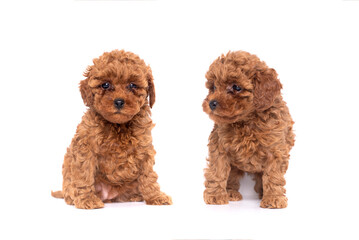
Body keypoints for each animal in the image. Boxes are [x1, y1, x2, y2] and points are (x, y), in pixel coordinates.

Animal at [51, 50, 173, 208]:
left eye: (132, 85)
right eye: (105, 85)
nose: (119, 101)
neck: (118, 126)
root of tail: (109, 196)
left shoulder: (144, 149)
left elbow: (148, 176)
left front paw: (156, 196)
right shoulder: (86, 148)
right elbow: (84, 175)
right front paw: (87, 200)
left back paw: (136, 196)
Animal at [202, 50, 296, 208]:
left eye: (236, 87)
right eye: (214, 87)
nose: (211, 103)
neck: (246, 121)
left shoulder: (276, 150)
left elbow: (273, 175)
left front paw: (273, 198)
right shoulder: (219, 147)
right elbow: (218, 171)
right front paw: (215, 195)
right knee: (232, 176)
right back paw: (231, 193)